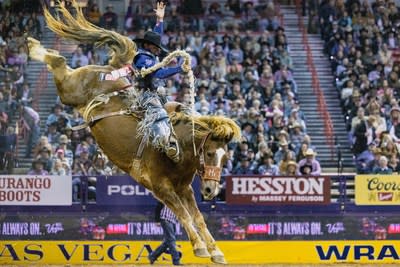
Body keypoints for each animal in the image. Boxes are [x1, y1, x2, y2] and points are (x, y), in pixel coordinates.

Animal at [28, 0, 241, 266]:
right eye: (211, 153)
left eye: (226, 157)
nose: (212, 190)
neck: (179, 149)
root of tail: (111, 69)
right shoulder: (161, 187)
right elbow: (182, 214)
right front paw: (201, 248)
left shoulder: (184, 189)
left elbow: (197, 216)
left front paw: (216, 251)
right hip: (71, 91)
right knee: (58, 62)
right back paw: (33, 47)